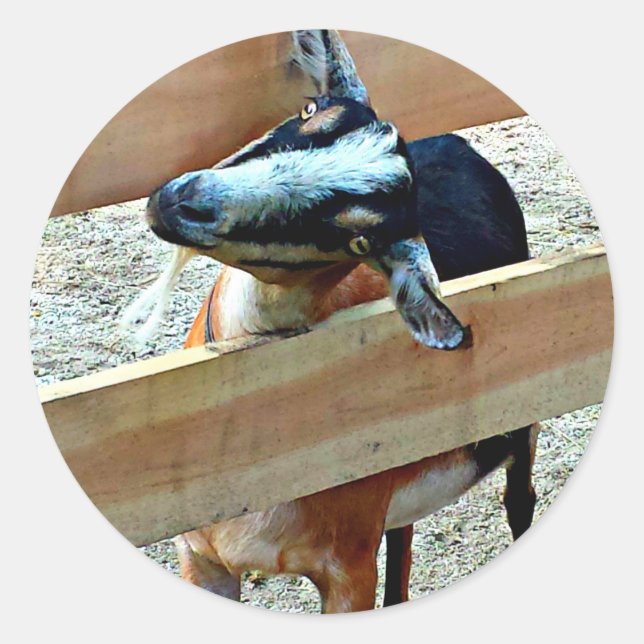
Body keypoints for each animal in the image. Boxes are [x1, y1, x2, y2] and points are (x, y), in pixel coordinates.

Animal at [135, 29, 538, 612]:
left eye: (358, 240)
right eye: (309, 109)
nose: (185, 201)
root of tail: (456, 143)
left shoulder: (347, 570)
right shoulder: (201, 557)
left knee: (519, 497)